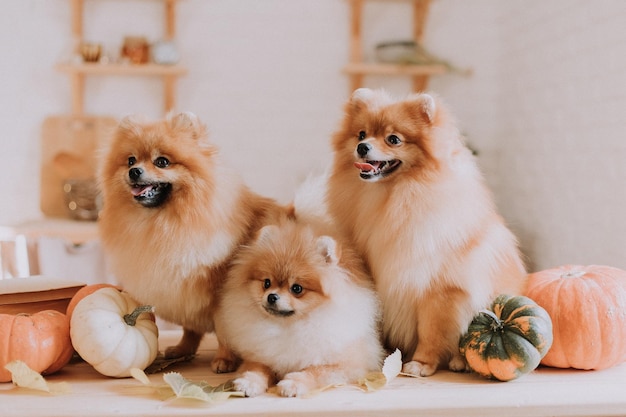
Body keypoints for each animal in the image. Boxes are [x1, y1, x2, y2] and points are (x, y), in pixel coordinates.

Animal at [98, 112, 284, 362]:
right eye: (130, 160)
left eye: (162, 162)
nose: (134, 171)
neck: (165, 224)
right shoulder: (184, 293)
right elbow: (190, 328)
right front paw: (183, 349)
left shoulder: (220, 294)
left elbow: (224, 330)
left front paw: (224, 360)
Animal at [212, 214, 382, 396]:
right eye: (266, 283)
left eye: (297, 288)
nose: (272, 296)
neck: (289, 327)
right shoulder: (261, 354)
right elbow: (257, 367)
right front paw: (249, 382)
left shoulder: (346, 365)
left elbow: (314, 371)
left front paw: (293, 383)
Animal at [326, 88, 528, 376]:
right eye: (361, 134)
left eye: (393, 139)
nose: (362, 147)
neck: (390, 198)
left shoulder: (438, 288)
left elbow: (431, 329)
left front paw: (421, 363)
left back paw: (459, 362)